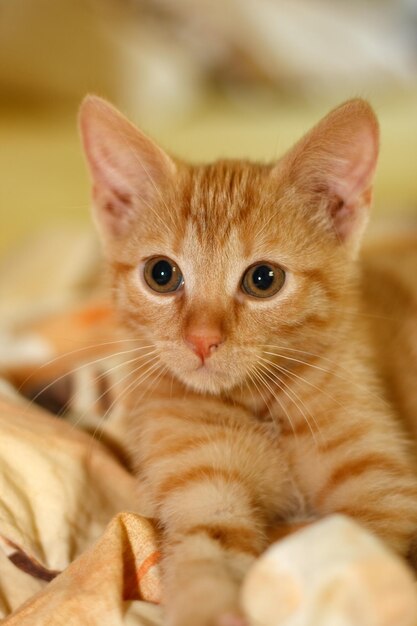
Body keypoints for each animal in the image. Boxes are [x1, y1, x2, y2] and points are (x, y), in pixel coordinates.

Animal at [79, 96, 416, 624]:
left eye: (263, 279)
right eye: (161, 274)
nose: (201, 340)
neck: (258, 407)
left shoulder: (382, 490)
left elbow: (353, 558)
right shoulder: (204, 501)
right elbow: (204, 565)